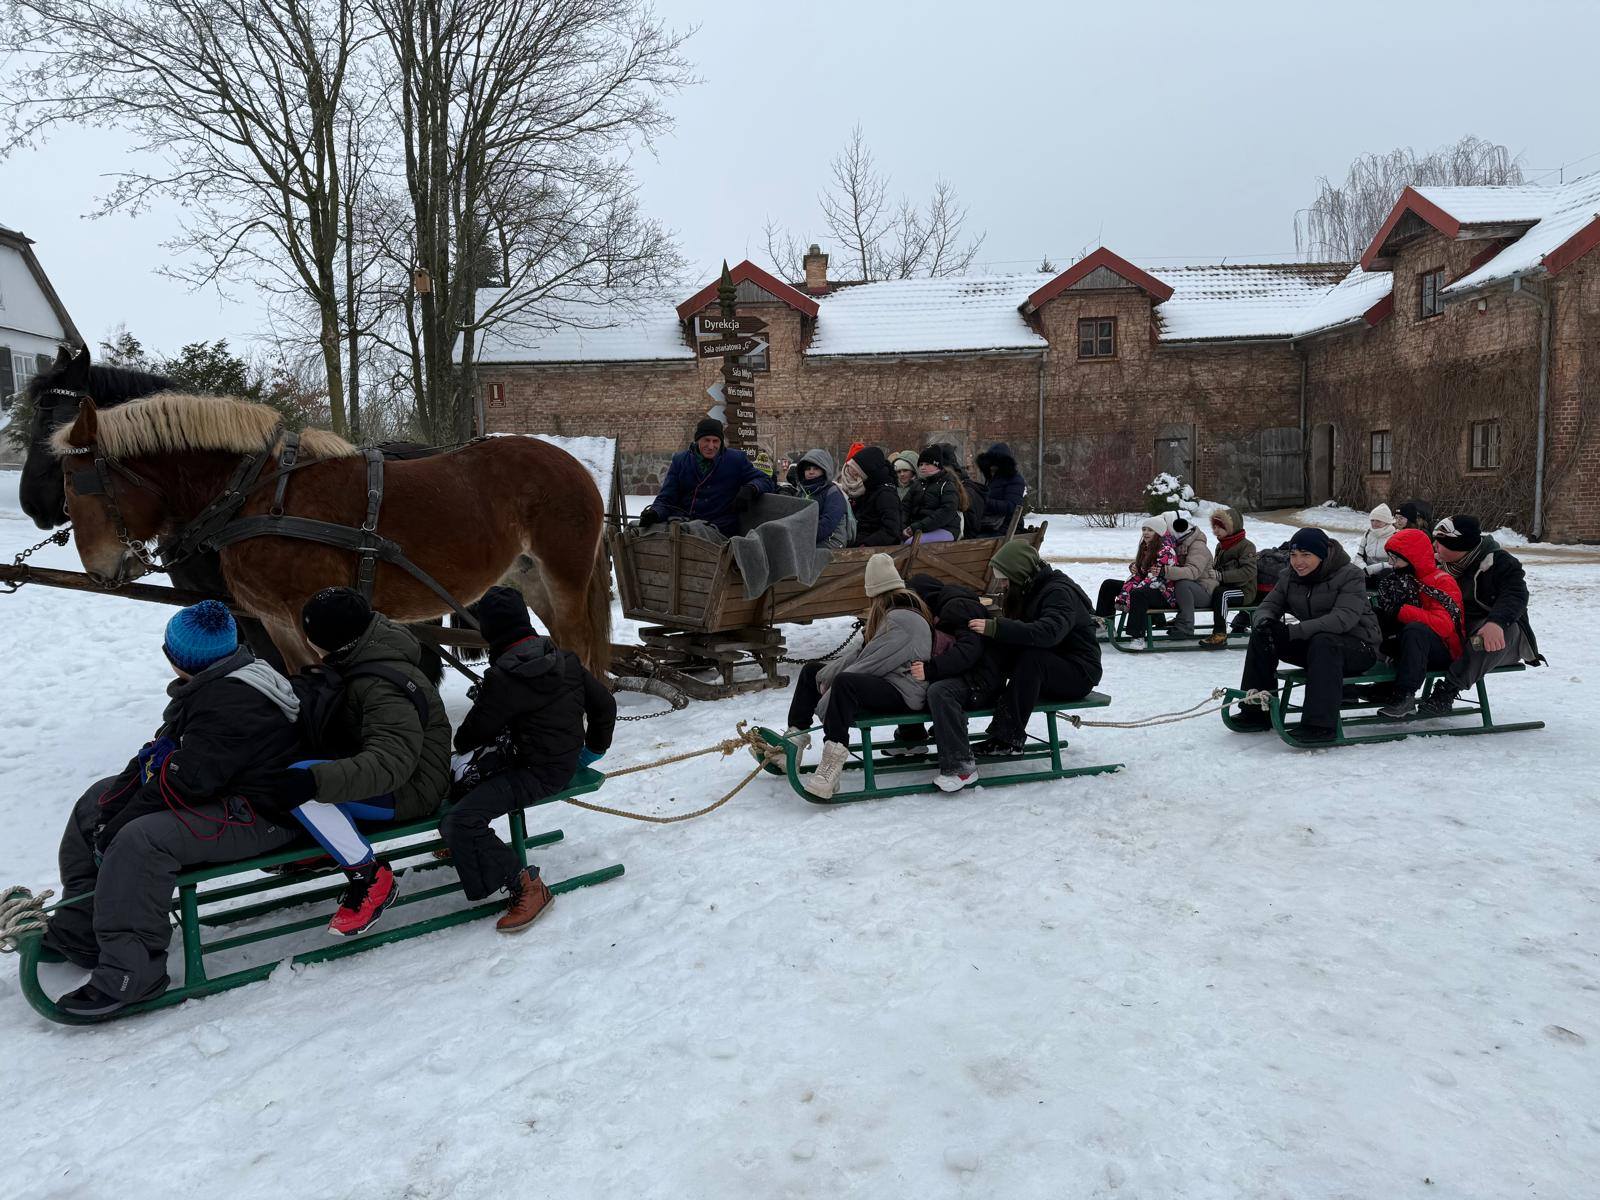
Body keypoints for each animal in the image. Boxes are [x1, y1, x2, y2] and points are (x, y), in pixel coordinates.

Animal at [50, 392, 612, 676]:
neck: (256, 493)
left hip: (564, 573)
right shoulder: (276, 622)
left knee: (579, 641)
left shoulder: (313, 616)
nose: (100, 570)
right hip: (528, 577)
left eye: (76, 485)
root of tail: (575, 466)